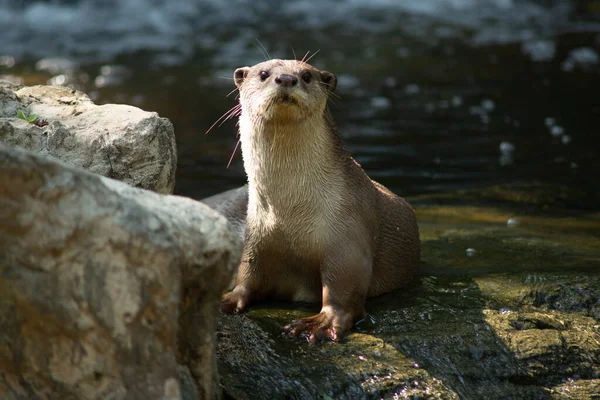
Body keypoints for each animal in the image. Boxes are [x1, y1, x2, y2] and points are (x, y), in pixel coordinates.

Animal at [204, 57, 420, 342]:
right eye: (264, 74)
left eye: (306, 76)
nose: (286, 79)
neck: (291, 213)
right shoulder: (256, 235)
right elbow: (247, 273)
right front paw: (226, 299)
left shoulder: (348, 238)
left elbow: (343, 287)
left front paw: (322, 322)